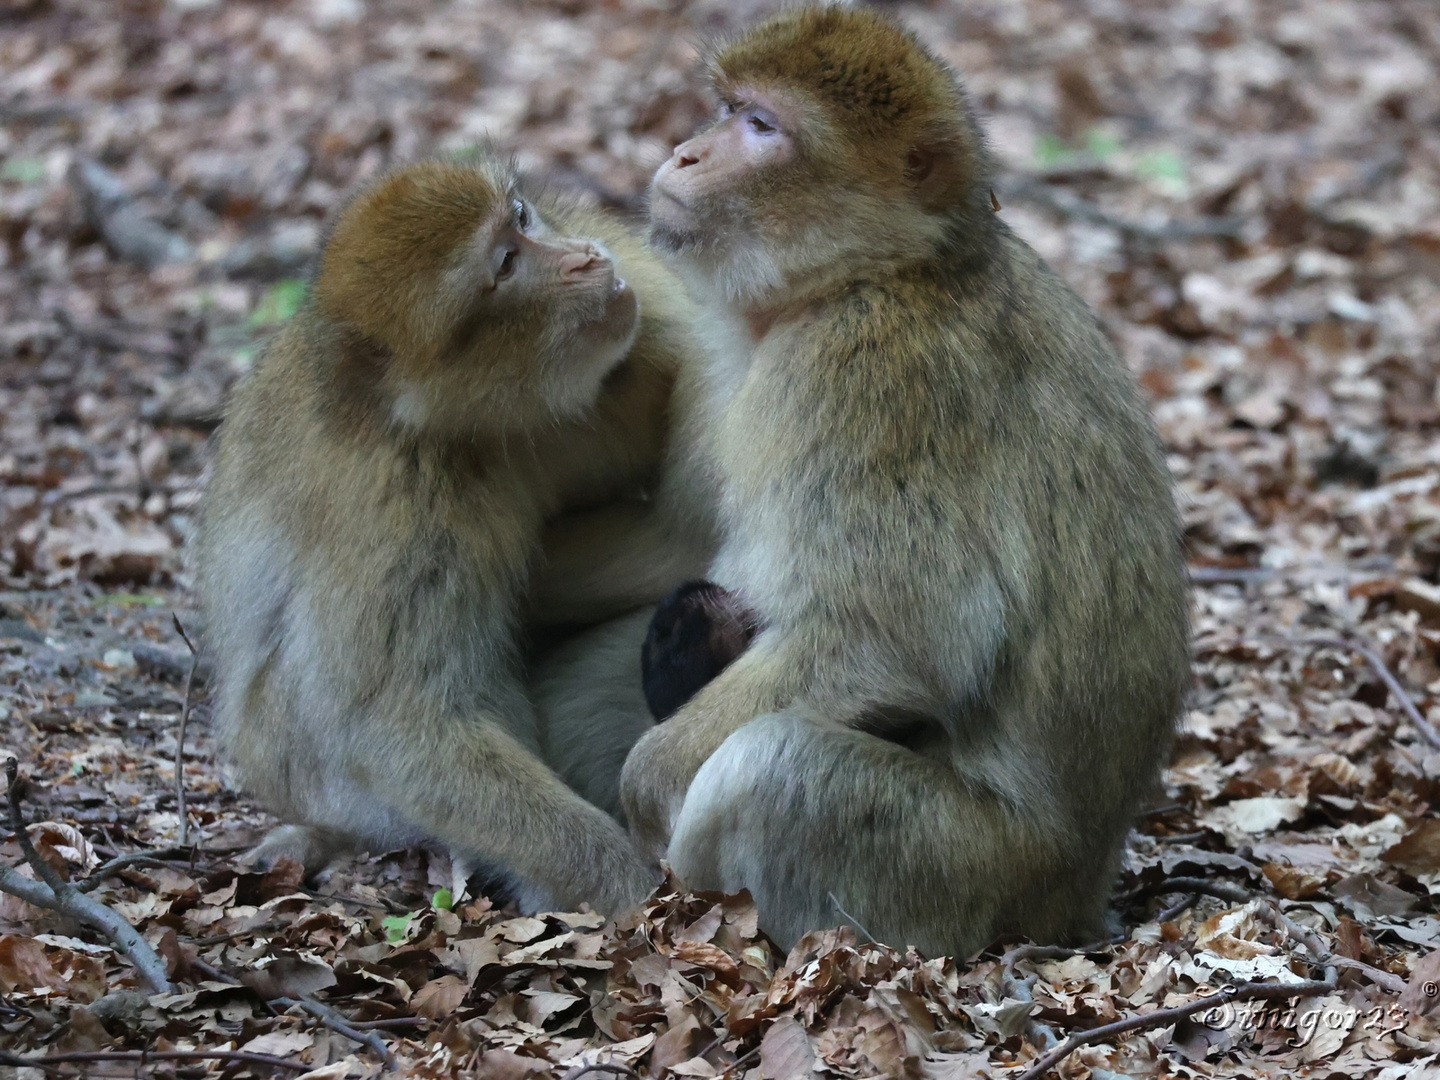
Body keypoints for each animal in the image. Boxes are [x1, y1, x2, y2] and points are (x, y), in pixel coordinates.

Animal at [195, 154, 702, 915]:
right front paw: (623, 886)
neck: (496, 422)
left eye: (521, 217)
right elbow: (403, 723)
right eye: (506, 263)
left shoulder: (645, 315)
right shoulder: (401, 499)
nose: (585, 259)